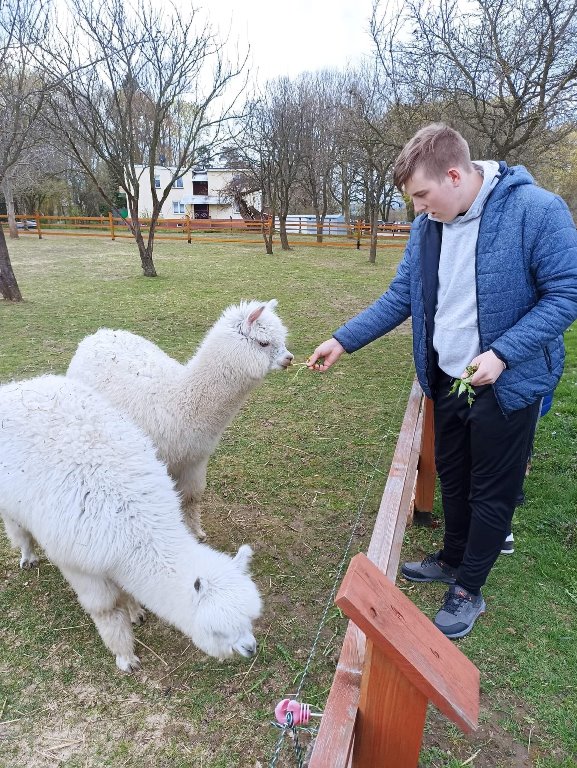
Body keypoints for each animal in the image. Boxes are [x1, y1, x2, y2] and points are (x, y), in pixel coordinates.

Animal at [0, 374, 262, 672]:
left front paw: (136, 612)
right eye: (217, 631)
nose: (250, 647)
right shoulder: (82, 566)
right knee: (18, 529)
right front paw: (125, 657)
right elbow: (106, 610)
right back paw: (28, 557)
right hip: (10, 501)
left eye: (251, 617)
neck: (135, 525)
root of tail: (17, 386)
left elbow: (127, 592)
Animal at [67, 299, 294, 540]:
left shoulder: (193, 460)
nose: (289, 358)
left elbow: (191, 498)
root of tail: (97, 334)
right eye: (264, 343)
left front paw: (196, 533)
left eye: (282, 339)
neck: (180, 400)